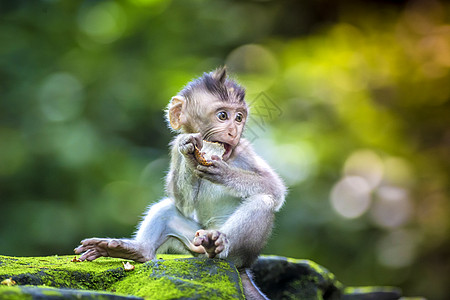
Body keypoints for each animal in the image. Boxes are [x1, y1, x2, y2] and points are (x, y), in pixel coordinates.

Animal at [74, 68, 284, 300]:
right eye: (223, 116)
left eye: (239, 118)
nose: (233, 131)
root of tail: (242, 269)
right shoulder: (175, 146)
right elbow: (183, 204)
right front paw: (189, 154)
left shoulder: (243, 150)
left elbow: (274, 188)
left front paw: (223, 173)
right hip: (194, 241)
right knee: (166, 209)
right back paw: (136, 250)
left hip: (238, 253)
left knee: (262, 201)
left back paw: (218, 240)